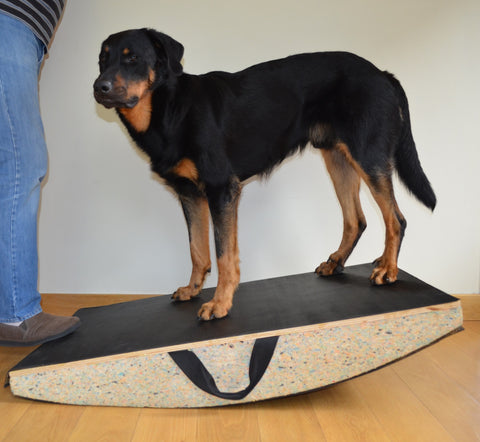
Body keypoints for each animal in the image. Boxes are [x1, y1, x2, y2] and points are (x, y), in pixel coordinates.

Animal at [93, 28, 436, 322]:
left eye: (132, 58)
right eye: (102, 60)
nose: (99, 88)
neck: (171, 108)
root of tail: (383, 74)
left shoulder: (221, 189)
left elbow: (224, 255)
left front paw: (220, 304)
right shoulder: (189, 193)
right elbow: (197, 250)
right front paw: (193, 289)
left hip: (369, 158)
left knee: (396, 219)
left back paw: (388, 270)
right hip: (338, 159)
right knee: (357, 220)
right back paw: (337, 262)